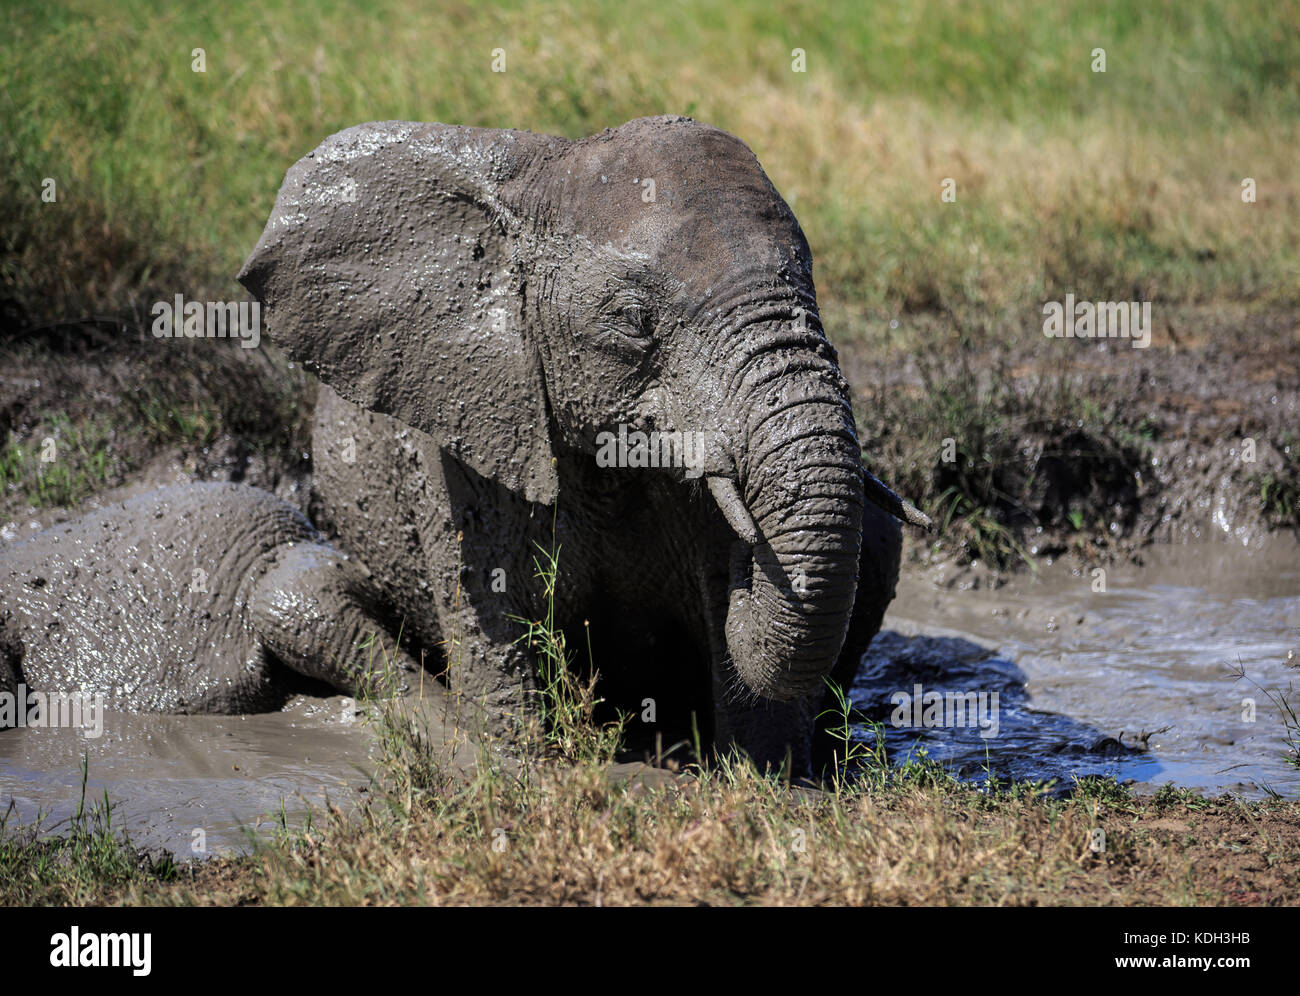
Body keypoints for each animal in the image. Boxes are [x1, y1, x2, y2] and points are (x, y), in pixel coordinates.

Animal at [238, 115, 922, 773]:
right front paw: (517, 760)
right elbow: (493, 624)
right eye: (634, 320)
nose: (754, 556)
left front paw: (780, 779)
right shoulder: (469, 434)